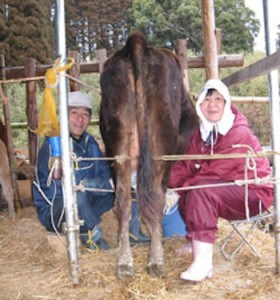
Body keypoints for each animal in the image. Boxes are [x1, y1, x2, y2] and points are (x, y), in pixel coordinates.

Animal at [99, 31, 198, 278]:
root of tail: (137, 43)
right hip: (159, 148)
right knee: (154, 196)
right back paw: (156, 259)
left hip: (118, 145)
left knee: (123, 201)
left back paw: (124, 262)